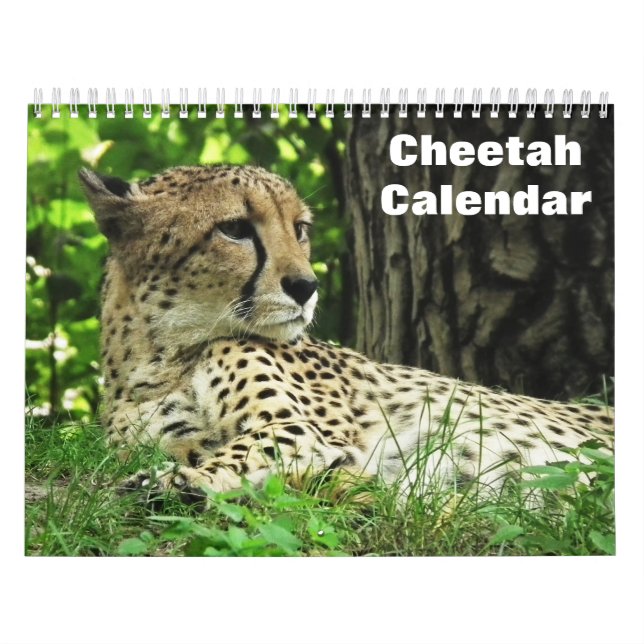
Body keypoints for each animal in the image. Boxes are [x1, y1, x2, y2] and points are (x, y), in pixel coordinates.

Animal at [79, 164, 614, 505]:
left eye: (300, 228)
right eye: (234, 228)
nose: (306, 286)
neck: (160, 356)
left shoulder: (301, 432)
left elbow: (240, 454)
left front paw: (174, 483)